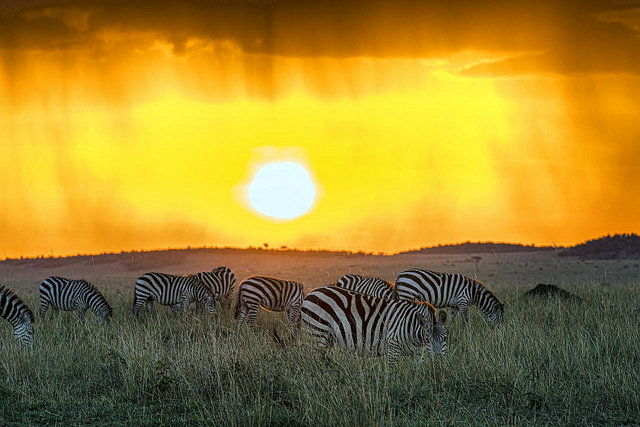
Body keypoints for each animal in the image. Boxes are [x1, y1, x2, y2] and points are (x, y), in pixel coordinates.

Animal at [300, 286, 444, 366]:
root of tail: (310, 293)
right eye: (429, 340)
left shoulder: (418, 354)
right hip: (318, 331)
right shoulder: (393, 346)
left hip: (328, 336)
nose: (439, 365)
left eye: (445, 339)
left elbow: (416, 373)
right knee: (314, 361)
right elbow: (392, 373)